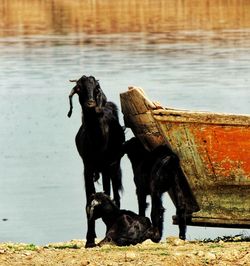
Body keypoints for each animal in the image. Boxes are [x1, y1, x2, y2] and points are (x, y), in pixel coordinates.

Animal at [67, 75, 125, 247]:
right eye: (79, 88)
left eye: (97, 88)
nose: (91, 104)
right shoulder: (87, 167)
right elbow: (88, 200)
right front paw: (89, 239)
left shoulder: (108, 166)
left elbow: (109, 196)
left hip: (113, 168)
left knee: (115, 195)